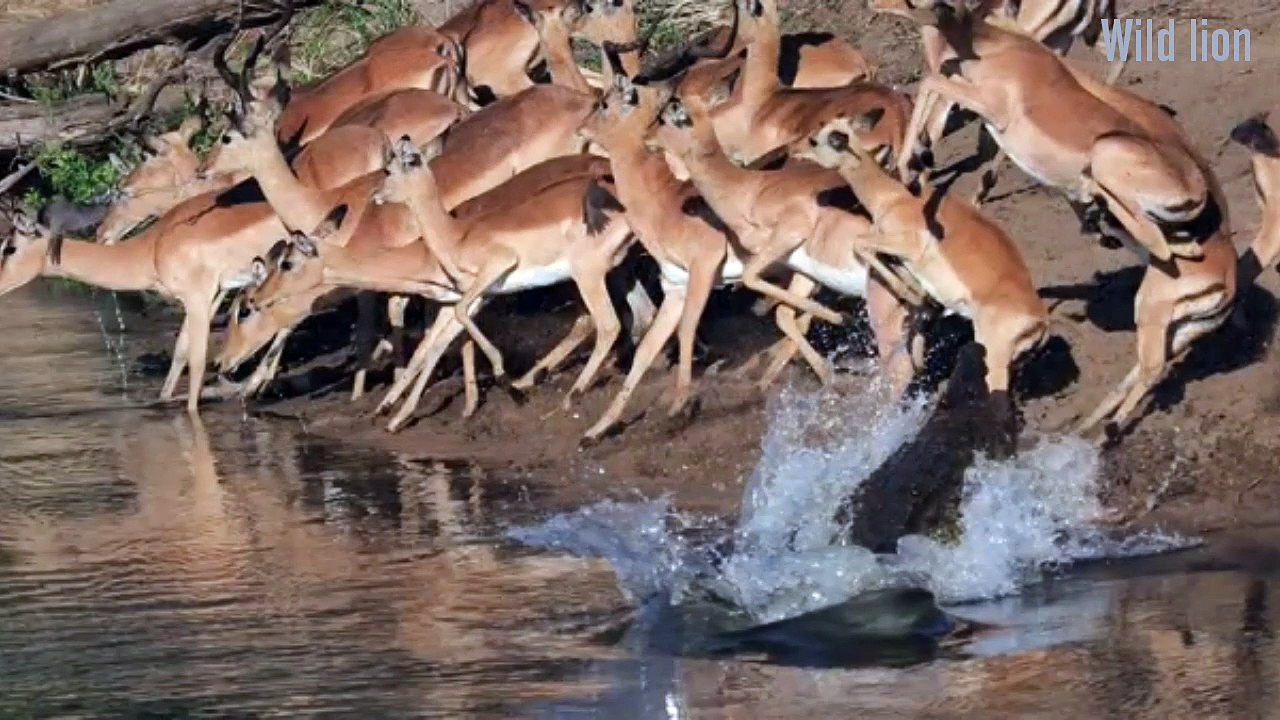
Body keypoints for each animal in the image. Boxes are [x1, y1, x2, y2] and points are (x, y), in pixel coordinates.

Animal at [891, 0, 1235, 436]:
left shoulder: (991, 107)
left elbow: (931, 83)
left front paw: (913, 162)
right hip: (1173, 330)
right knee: (1149, 367)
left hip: (1108, 164)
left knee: (1155, 253)